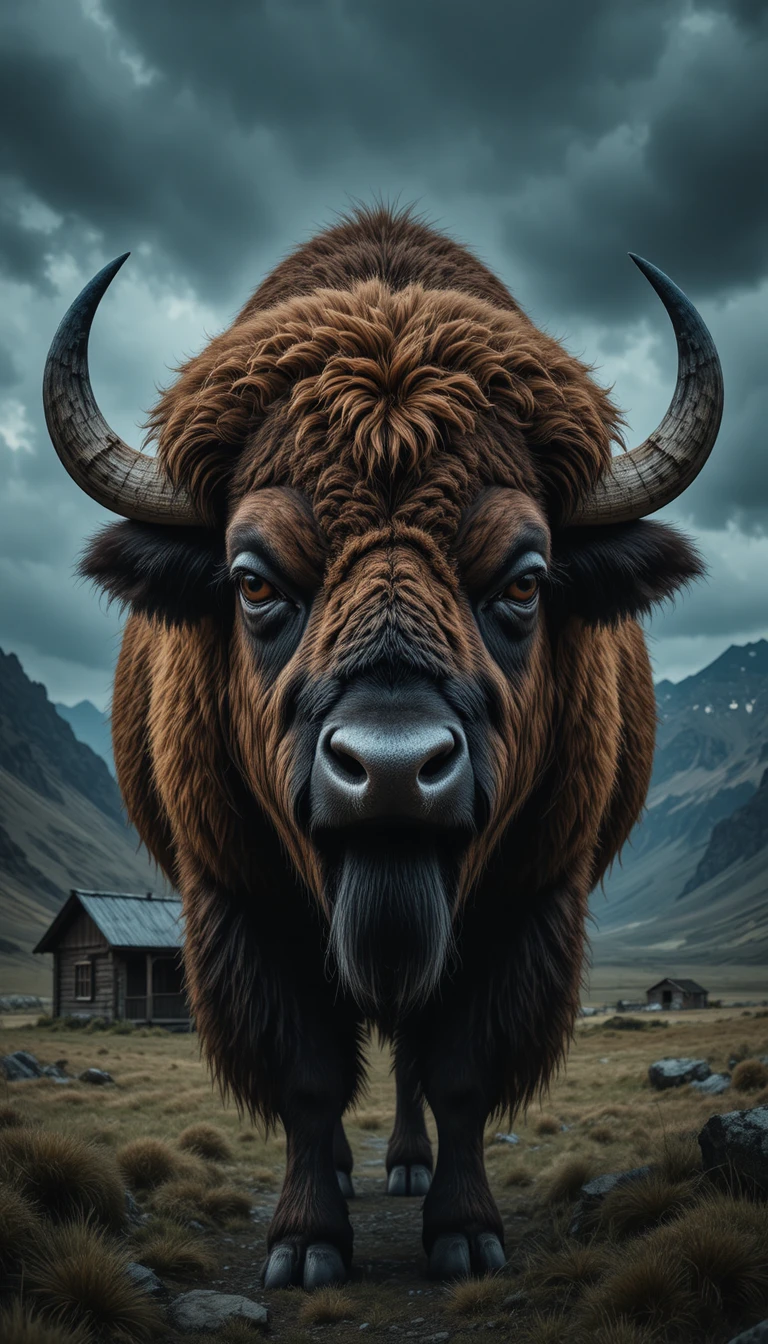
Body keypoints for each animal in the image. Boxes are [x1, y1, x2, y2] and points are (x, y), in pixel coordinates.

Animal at [43, 206, 722, 1288]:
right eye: (253, 580)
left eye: (526, 580)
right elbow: (310, 1080)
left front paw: (467, 1235)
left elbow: (459, 1074)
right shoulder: (239, 905)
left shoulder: (529, 904)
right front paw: (305, 1243)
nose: (394, 771)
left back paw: (404, 1167)